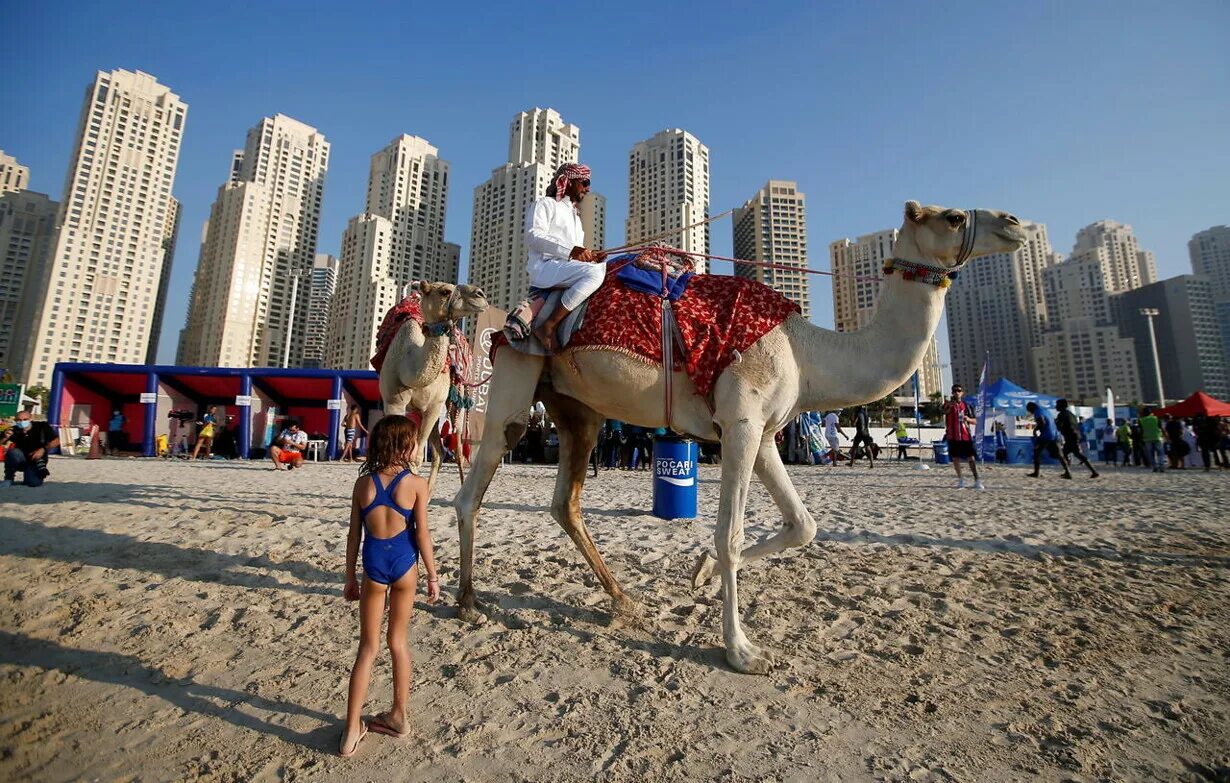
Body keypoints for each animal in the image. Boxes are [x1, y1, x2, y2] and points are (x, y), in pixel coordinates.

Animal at [376, 279, 487, 489]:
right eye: (445, 292)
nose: (480, 294)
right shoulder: (393, 401)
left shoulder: (434, 405)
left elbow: (417, 456)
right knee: (439, 453)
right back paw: (427, 492)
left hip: (457, 400)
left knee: (458, 451)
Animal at [452, 201, 1028, 673]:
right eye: (952, 216)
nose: (1015, 222)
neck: (805, 352)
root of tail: (511, 318)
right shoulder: (740, 423)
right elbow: (729, 535)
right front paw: (741, 650)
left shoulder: (767, 432)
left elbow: (803, 526)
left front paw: (701, 573)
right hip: (514, 380)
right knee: (474, 484)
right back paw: (468, 603)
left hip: (579, 411)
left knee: (565, 502)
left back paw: (624, 602)